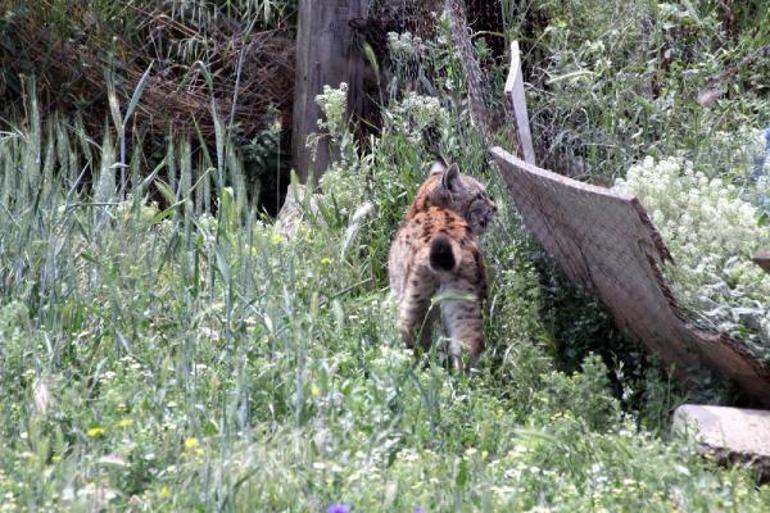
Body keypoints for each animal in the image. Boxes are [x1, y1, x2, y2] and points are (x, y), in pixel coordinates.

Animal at [388, 162, 496, 366]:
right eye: (479, 196)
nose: (495, 207)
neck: (423, 206)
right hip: (467, 300)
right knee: (468, 347)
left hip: (416, 299)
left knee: (411, 339)